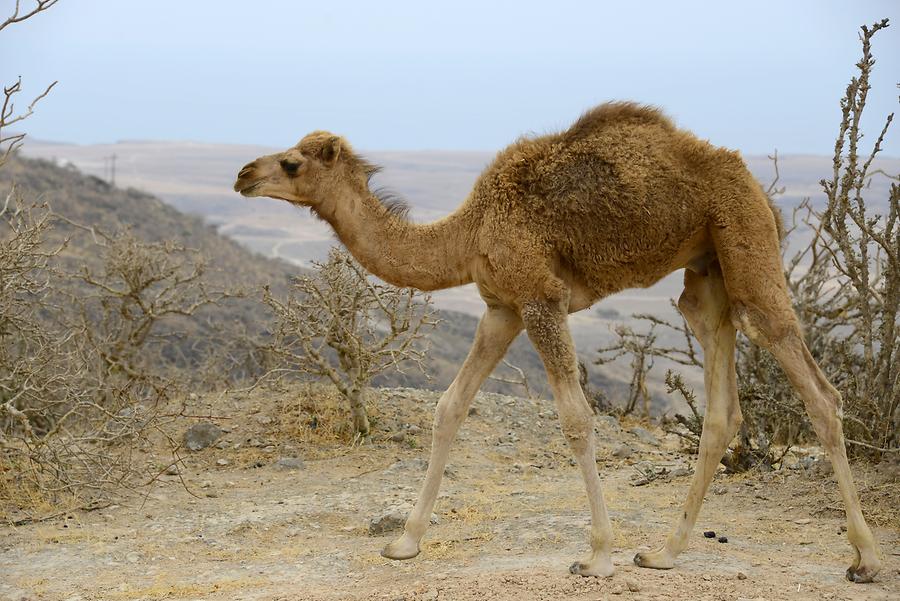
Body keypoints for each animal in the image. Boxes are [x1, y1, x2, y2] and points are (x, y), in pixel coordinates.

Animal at [234, 102, 884, 580]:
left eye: (291, 163)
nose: (243, 174)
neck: (467, 233)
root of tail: (756, 187)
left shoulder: (541, 299)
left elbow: (575, 418)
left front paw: (596, 555)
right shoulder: (501, 308)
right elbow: (450, 407)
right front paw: (404, 543)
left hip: (745, 246)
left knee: (817, 390)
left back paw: (866, 558)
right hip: (707, 278)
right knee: (722, 409)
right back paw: (663, 553)